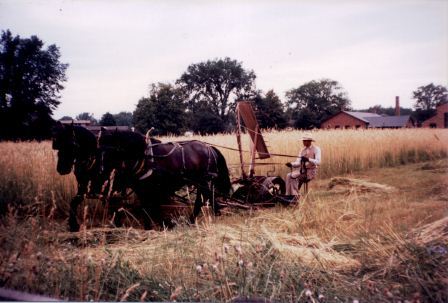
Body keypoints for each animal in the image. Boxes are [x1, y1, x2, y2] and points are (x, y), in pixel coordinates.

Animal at [97, 127, 231, 229]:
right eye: (99, 150)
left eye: (112, 151)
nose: (101, 171)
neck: (145, 156)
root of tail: (209, 147)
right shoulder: (142, 189)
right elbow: (146, 208)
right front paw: (150, 227)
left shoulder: (152, 188)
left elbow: (151, 208)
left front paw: (162, 225)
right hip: (200, 181)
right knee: (207, 197)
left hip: (203, 180)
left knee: (201, 199)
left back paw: (194, 219)